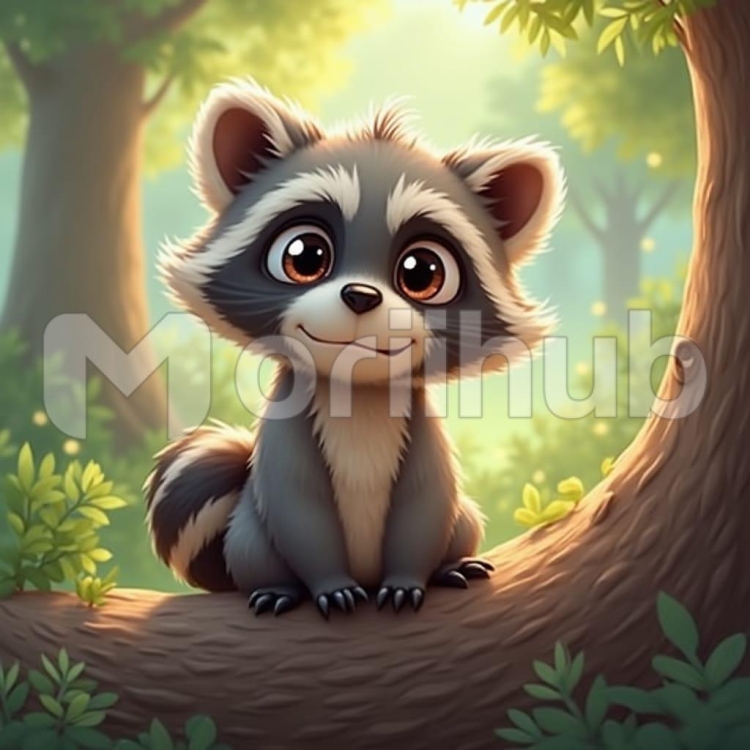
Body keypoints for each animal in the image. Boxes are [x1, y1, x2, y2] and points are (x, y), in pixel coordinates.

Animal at [146, 79, 564, 618]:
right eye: (305, 256)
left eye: (422, 272)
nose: (361, 296)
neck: (357, 390)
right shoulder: (290, 431)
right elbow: (299, 509)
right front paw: (329, 584)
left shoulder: (422, 433)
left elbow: (425, 503)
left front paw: (409, 579)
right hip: (248, 533)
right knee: (257, 545)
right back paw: (278, 587)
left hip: (464, 519)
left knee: (460, 519)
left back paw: (450, 564)